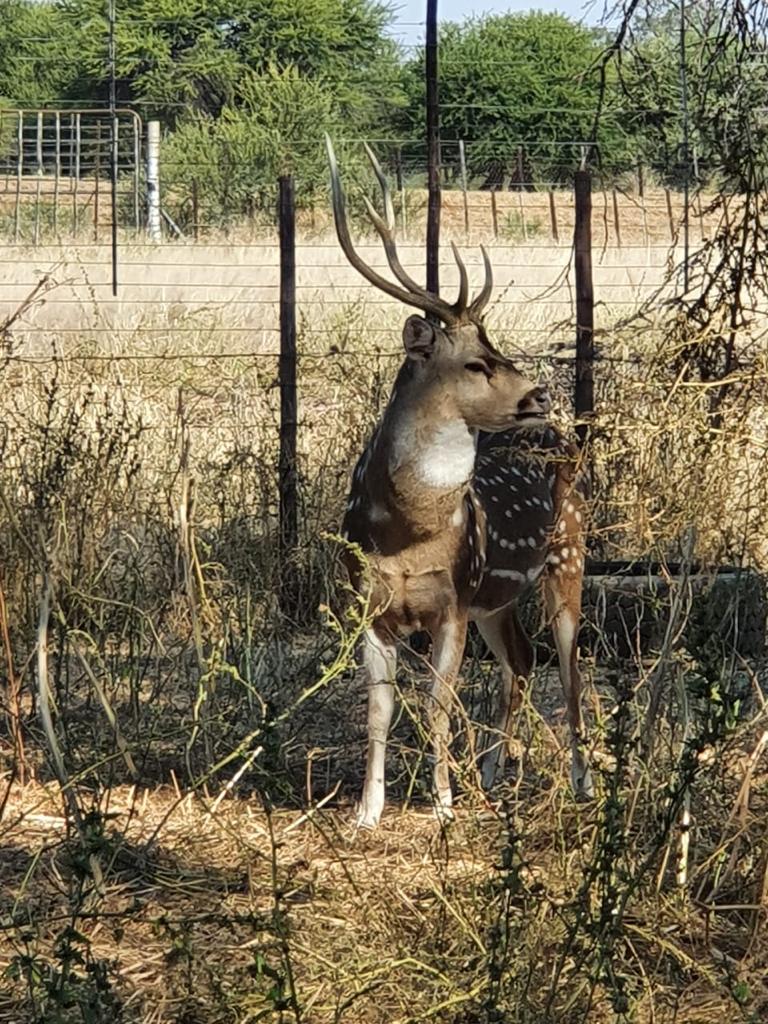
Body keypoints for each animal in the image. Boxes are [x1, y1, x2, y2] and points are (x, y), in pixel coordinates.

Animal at [327, 137, 594, 829]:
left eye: (499, 349)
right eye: (477, 362)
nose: (538, 394)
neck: (407, 533)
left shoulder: (452, 599)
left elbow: (439, 706)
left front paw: (443, 805)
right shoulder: (368, 604)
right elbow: (379, 709)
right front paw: (367, 810)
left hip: (568, 558)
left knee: (570, 667)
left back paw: (580, 784)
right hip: (496, 599)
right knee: (522, 662)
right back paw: (493, 775)